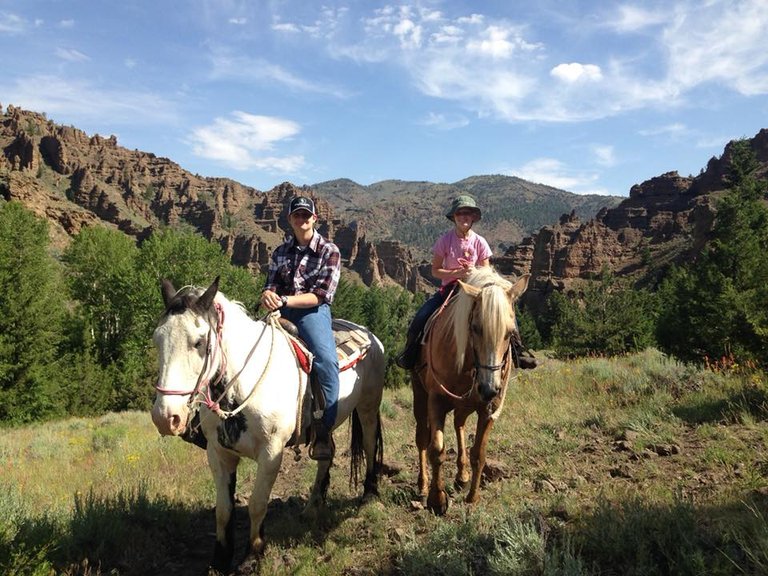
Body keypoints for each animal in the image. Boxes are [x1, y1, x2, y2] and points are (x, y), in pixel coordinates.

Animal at [151, 278, 388, 572]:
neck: (244, 382)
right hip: (327, 424)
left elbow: (257, 504)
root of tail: (369, 334)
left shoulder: (271, 453)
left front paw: (252, 556)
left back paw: (369, 495)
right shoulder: (218, 454)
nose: (165, 417)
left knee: (368, 444)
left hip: (368, 406)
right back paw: (312, 507)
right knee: (326, 454)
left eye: (199, 342)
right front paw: (220, 559)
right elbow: (223, 509)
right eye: (157, 339)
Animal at [412, 268, 532, 516]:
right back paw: (423, 485)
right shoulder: (436, 401)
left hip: (464, 405)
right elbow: (436, 449)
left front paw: (473, 497)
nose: (489, 388)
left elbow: (479, 452)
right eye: (475, 327)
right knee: (422, 439)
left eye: (510, 333)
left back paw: (462, 476)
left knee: (459, 425)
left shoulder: (489, 409)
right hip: (419, 396)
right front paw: (437, 500)